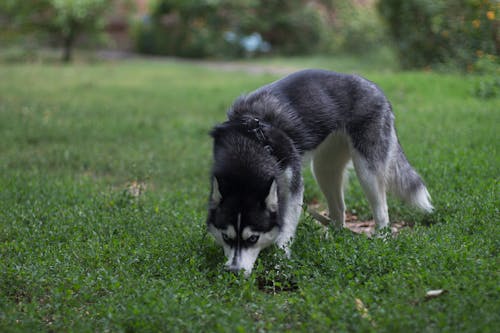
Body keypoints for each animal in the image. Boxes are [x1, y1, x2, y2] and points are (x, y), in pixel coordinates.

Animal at [205, 68, 432, 274]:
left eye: (253, 238)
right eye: (226, 237)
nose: (234, 271)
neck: (249, 143)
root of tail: (373, 86)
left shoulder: (292, 187)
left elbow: (285, 230)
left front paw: (280, 262)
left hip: (367, 170)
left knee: (382, 210)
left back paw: (382, 239)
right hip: (324, 169)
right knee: (339, 209)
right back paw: (334, 239)